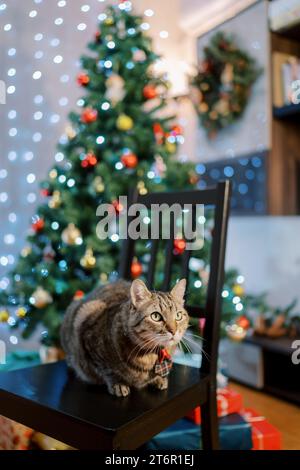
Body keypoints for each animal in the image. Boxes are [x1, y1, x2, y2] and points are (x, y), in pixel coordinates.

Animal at [59, 280, 189, 396]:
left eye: (178, 316)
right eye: (156, 316)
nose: (173, 331)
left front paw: (159, 378)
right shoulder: (90, 342)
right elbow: (107, 370)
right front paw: (118, 384)